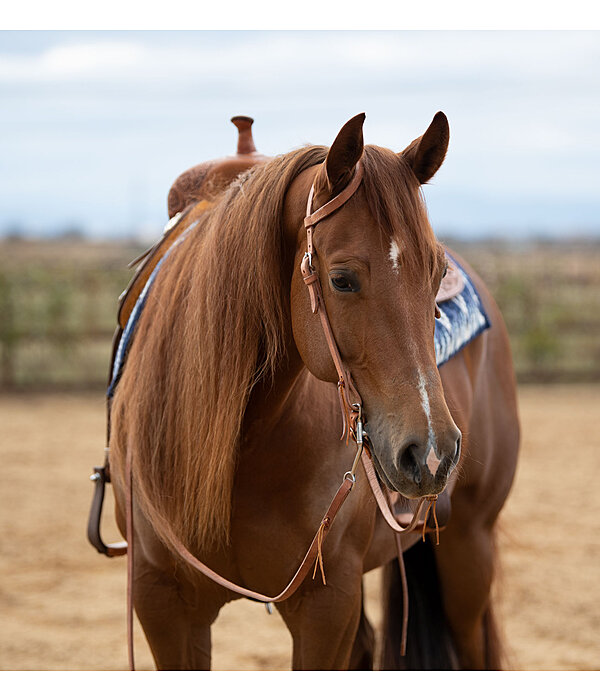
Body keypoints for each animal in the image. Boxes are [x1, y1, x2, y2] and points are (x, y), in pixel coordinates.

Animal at [108, 112, 520, 668]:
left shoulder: (327, 601)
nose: (432, 452)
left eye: (436, 274)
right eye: (342, 279)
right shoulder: (162, 601)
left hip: (469, 549)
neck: (245, 443)